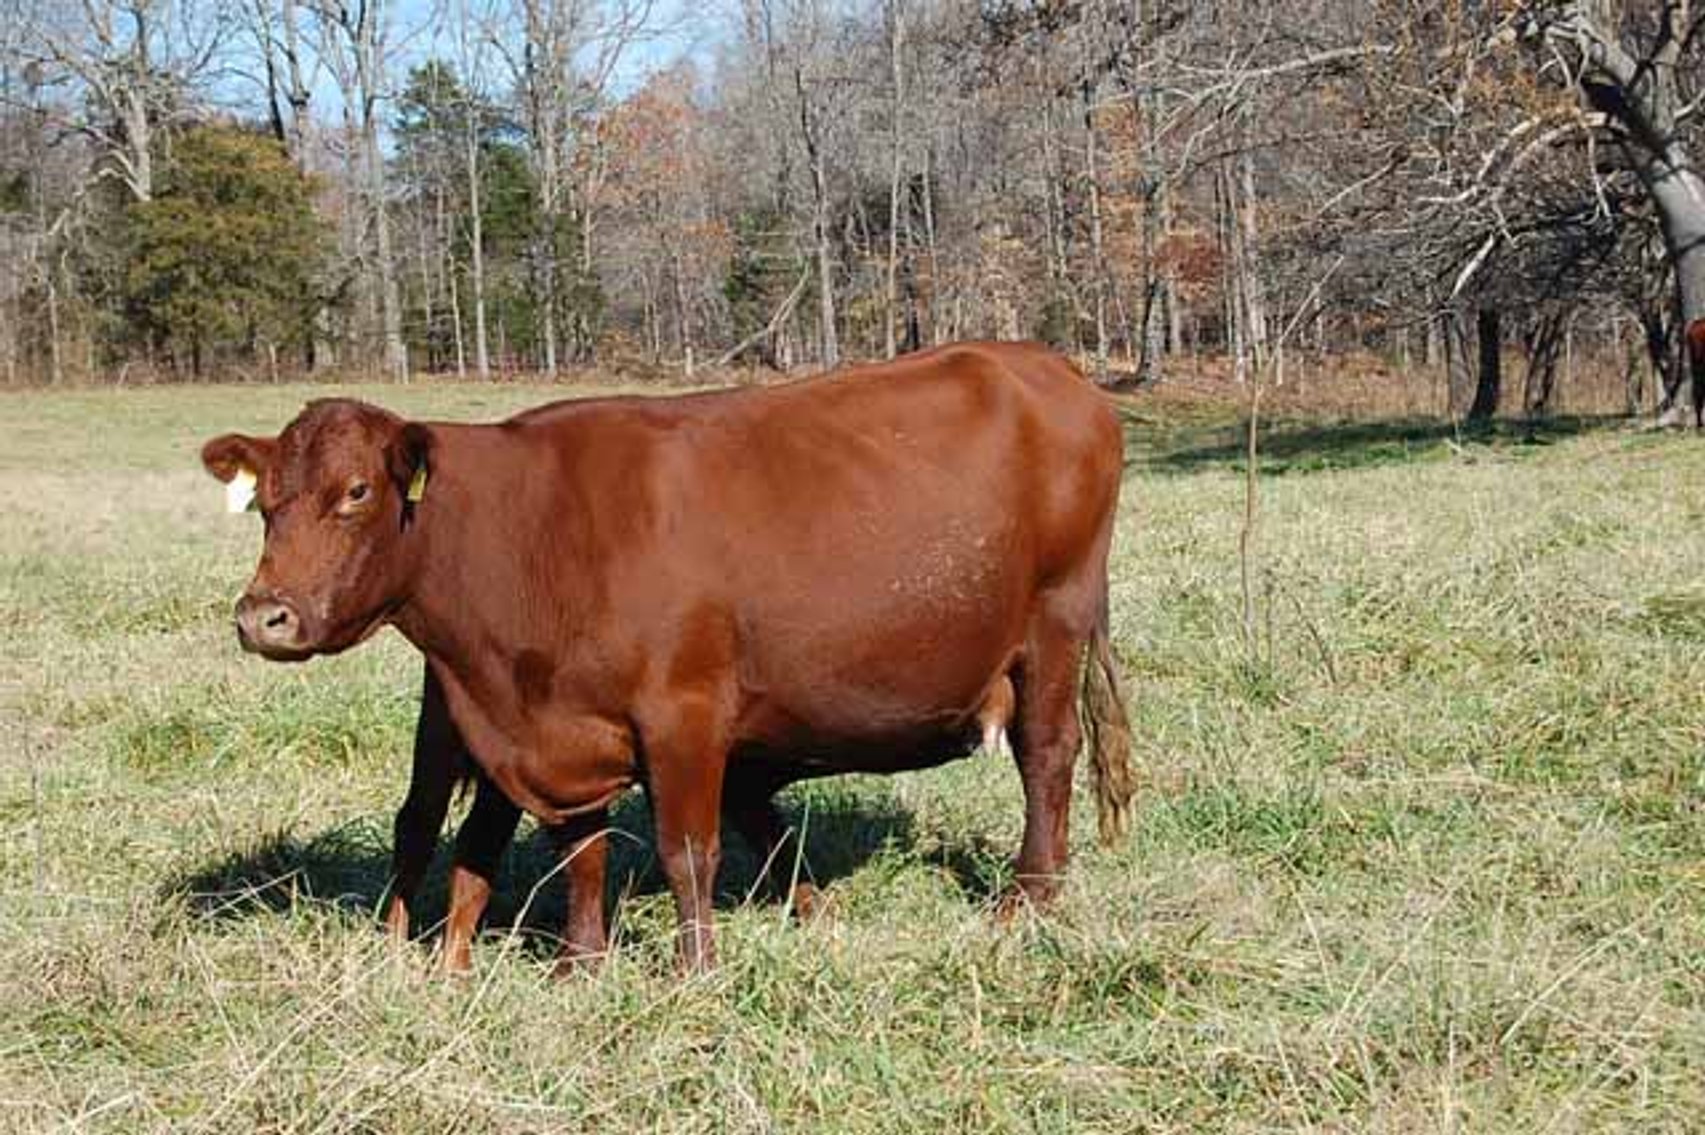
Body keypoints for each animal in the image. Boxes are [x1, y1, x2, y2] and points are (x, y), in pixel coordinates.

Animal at [201, 341, 1136, 972]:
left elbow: (688, 849)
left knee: (1046, 757)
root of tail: (1047, 367)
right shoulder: (558, 729)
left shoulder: (683, 712)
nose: (263, 616)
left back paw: (1028, 899)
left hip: (1053, 627)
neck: (531, 532)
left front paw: (695, 970)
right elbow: (579, 848)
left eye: (356, 492)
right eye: (266, 502)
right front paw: (583, 964)